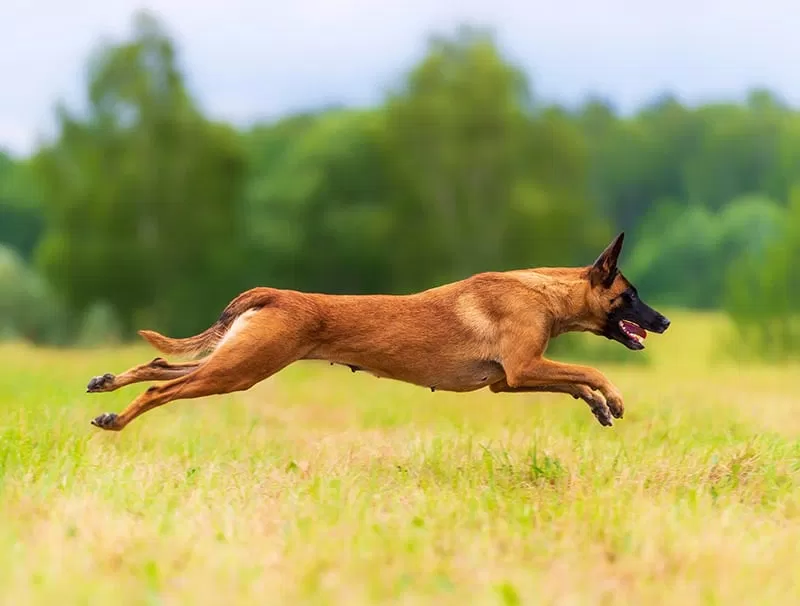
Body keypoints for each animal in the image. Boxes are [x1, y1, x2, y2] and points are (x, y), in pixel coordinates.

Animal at [89, 232, 668, 432]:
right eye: (631, 294)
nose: (663, 321)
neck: (545, 293)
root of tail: (273, 294)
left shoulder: (511, 379)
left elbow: (575, 381)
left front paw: (599, 407)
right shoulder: (523, 369)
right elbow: (589, 369)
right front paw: (613, 398)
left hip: (234, 360)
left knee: (159, 365)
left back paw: (105, 385)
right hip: (239, 370)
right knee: (161, 388)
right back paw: (117, 419)